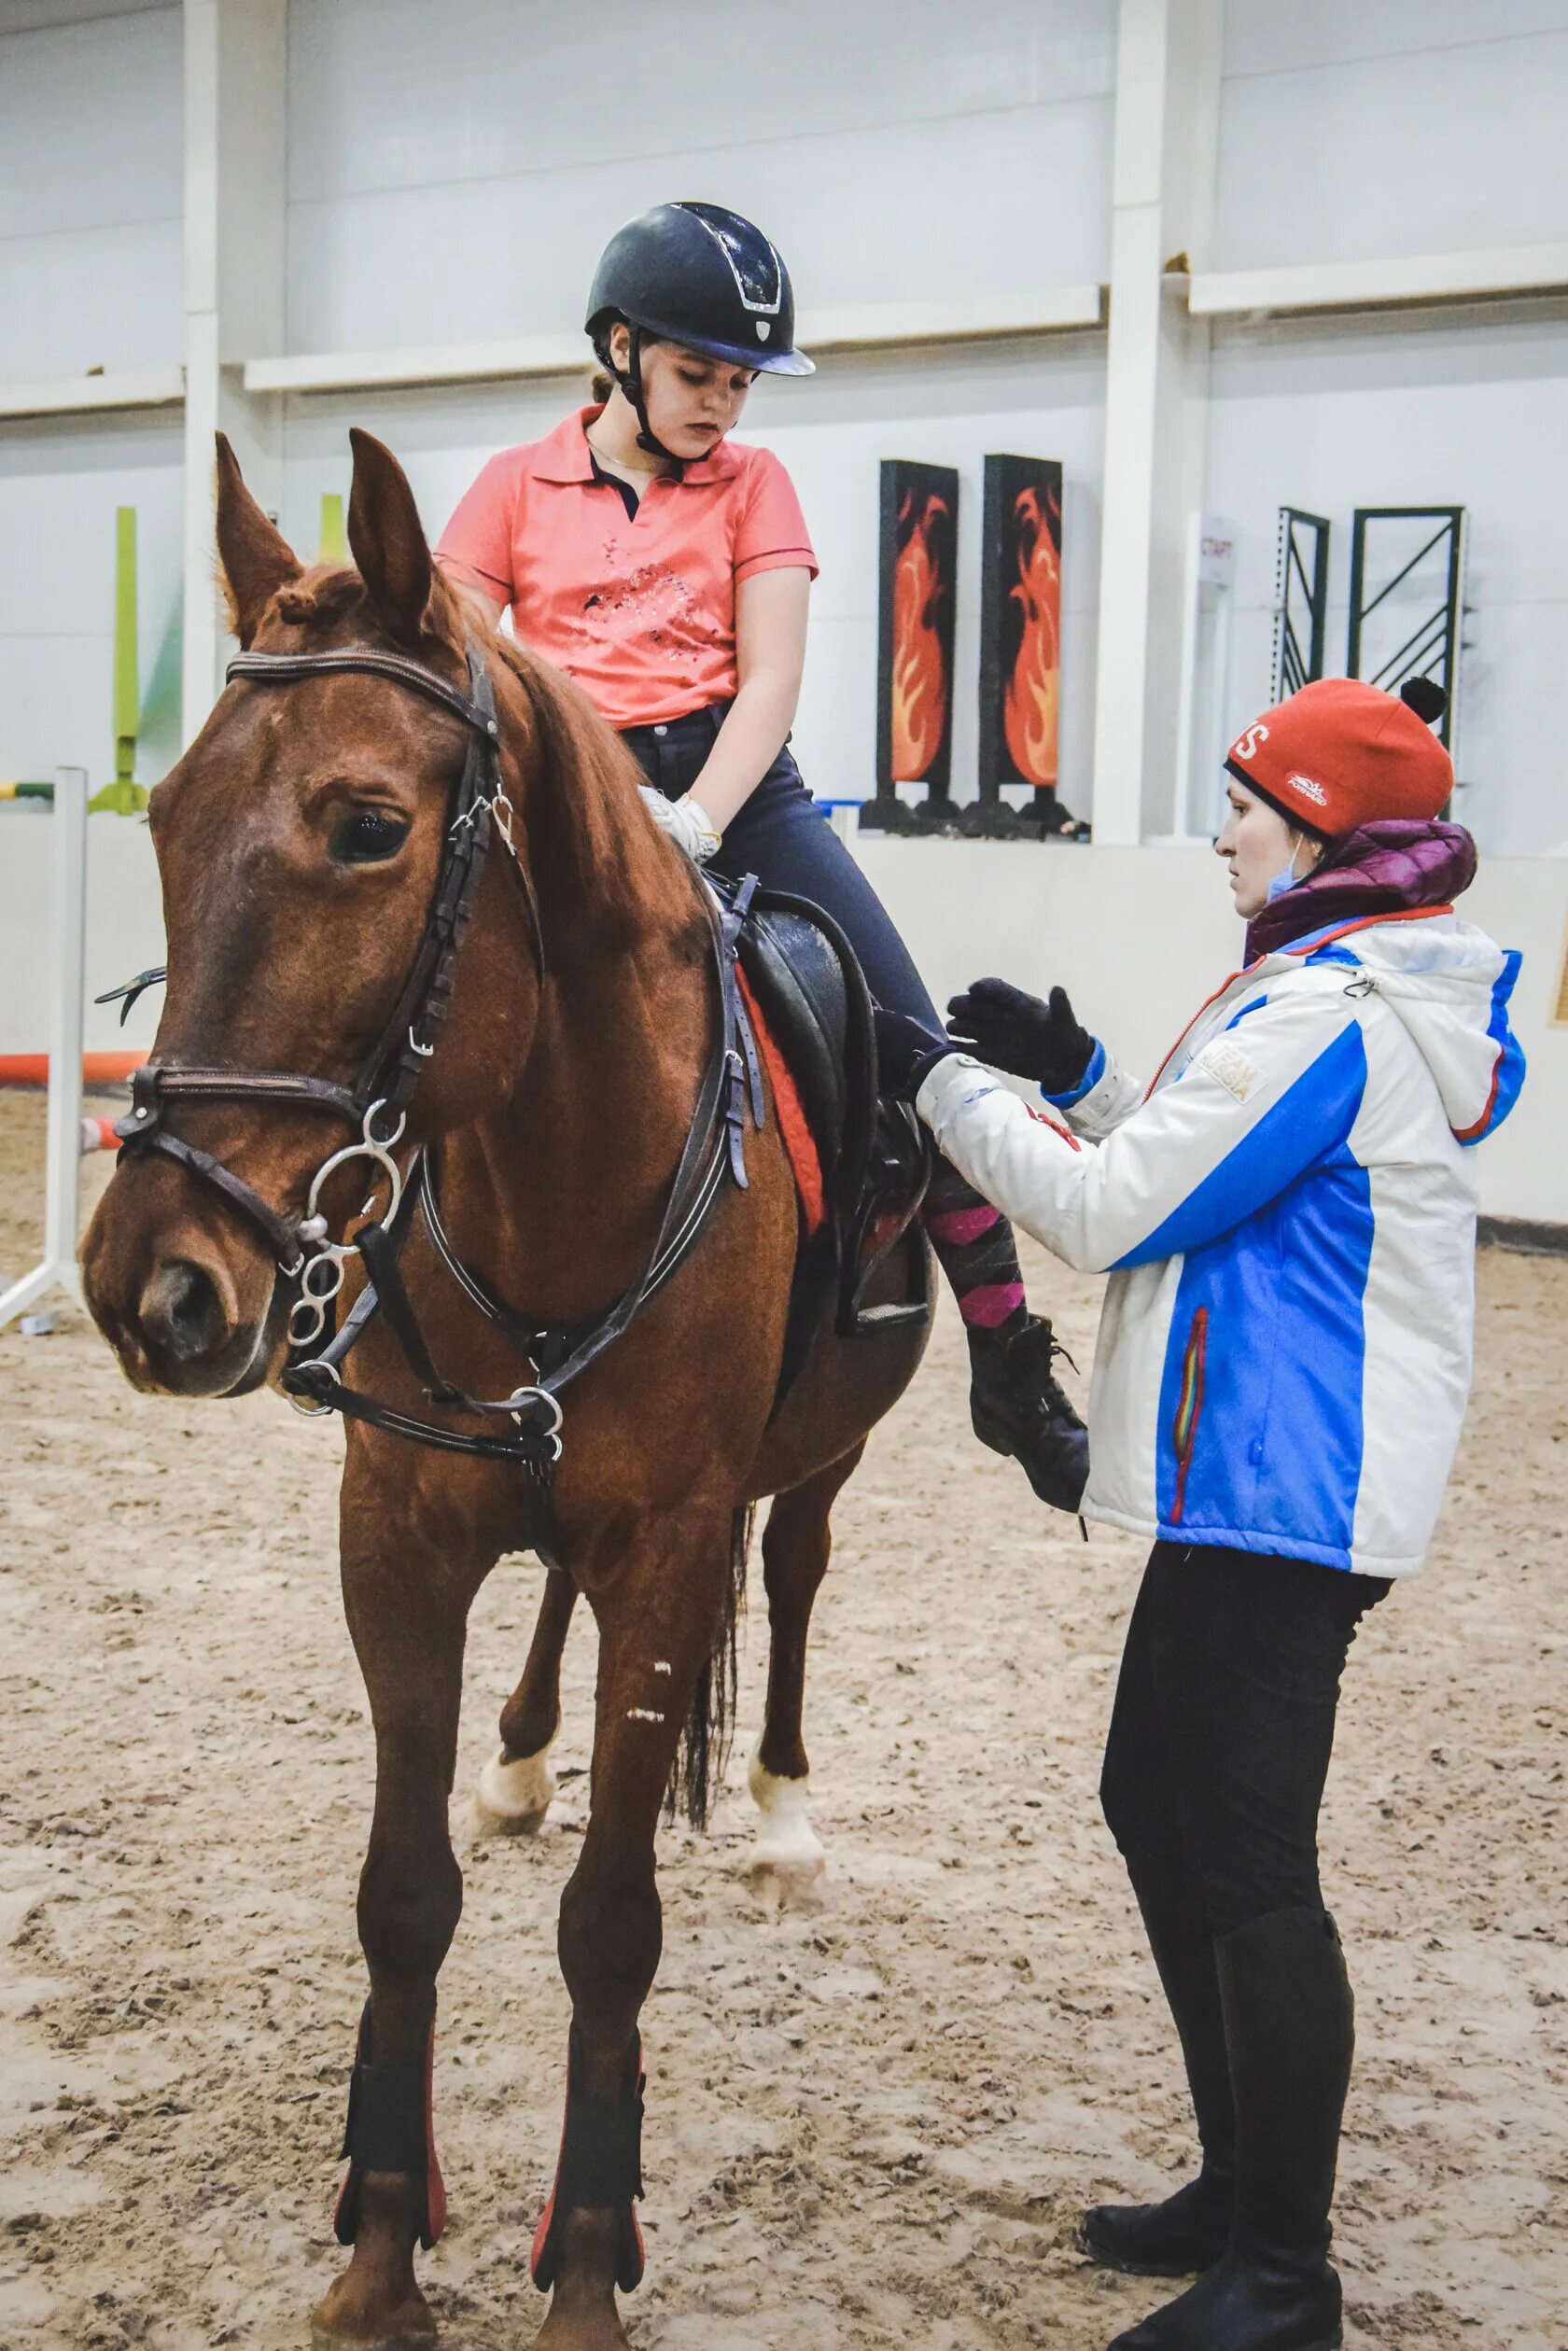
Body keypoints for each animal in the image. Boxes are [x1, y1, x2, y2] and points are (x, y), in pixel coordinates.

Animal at [79, 432, 926, 2341]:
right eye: (165, 818)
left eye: (368, 826)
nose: (148, 1284)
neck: (559, 1171)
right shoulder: (396, 1528)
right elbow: (402, 1896)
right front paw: (380, 2251)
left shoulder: (673, 1547)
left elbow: (612, 1926)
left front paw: (586, 2262)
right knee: (550, 1597)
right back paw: (526, 1756)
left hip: (815, 1463)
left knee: (801, 1567)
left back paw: (780, 1812)